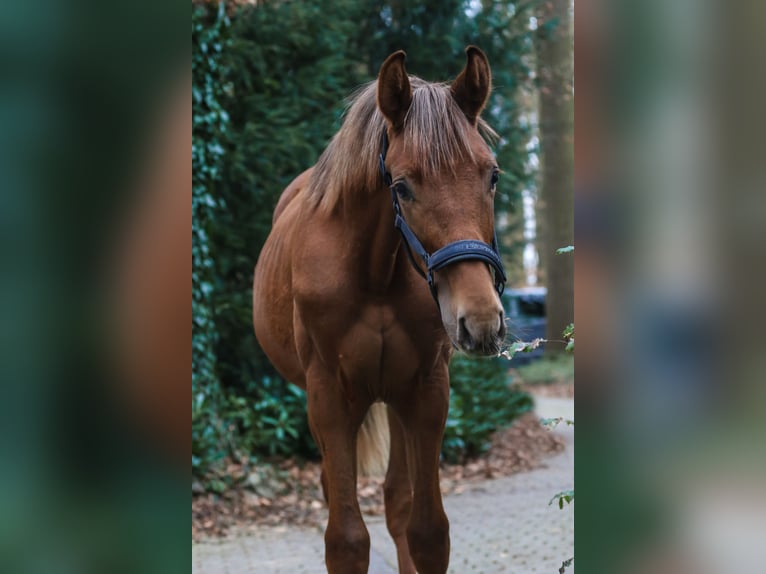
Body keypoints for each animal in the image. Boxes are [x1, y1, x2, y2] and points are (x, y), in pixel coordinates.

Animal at [255, 46, 508, 574]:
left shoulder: (427, 390)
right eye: (403, 186)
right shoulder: (328, 396)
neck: (374, 274)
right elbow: (347, 539)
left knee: (397, 500)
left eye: (492, 175)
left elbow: (426, 531)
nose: (480, 320)